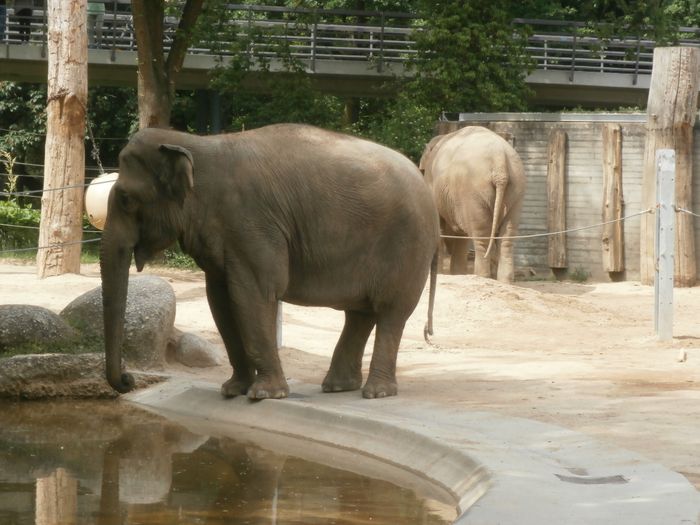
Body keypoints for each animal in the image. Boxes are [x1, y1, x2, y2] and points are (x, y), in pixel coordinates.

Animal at [100, 125, 438, 400]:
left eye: (126, 199)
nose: (128, 379)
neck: (197, 143)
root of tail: (424, 181)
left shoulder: (251, 224)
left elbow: (253, 294)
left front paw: (264, 395)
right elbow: (220, 300)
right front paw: (232, 390)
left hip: (408, 248)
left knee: (391, 311)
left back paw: (376, 392)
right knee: (360, 314)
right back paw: (338, 387)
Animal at [422, 126, 524, 282]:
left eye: (421, 170)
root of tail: (499, 160)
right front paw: (456, 273)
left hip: (474, 193)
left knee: (481, 237)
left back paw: (482, 276)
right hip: (516, 190)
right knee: (507, 237)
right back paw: (504, 281)